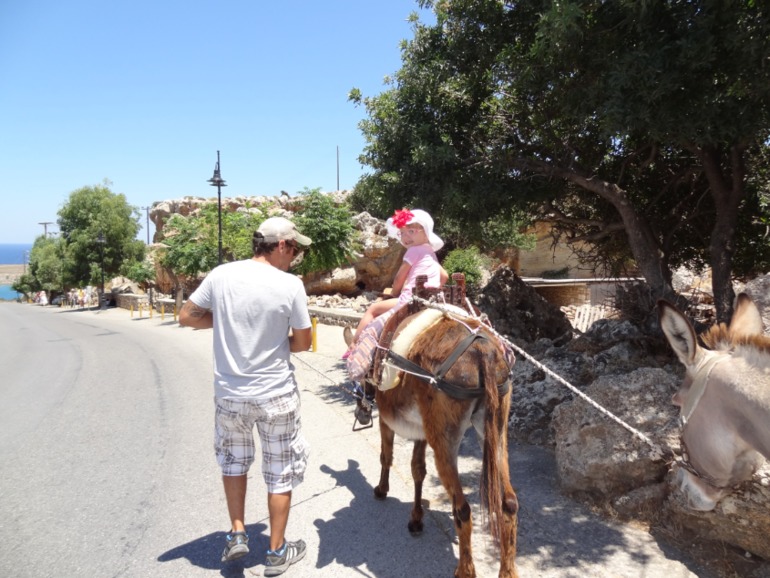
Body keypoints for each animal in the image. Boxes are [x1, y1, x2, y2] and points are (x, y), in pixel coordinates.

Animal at [346, 303, 519, 578]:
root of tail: (482, 351)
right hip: (496, 432)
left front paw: (382, 490)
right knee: (509, 503)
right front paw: (416, 518)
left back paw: (465, 570)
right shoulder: (423, 430)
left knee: (463, 509)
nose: (361, 412)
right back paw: (508, 570)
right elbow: (418, 470)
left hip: (445, 442)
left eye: (362, 380)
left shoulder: (387, 420)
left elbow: (387, 456)